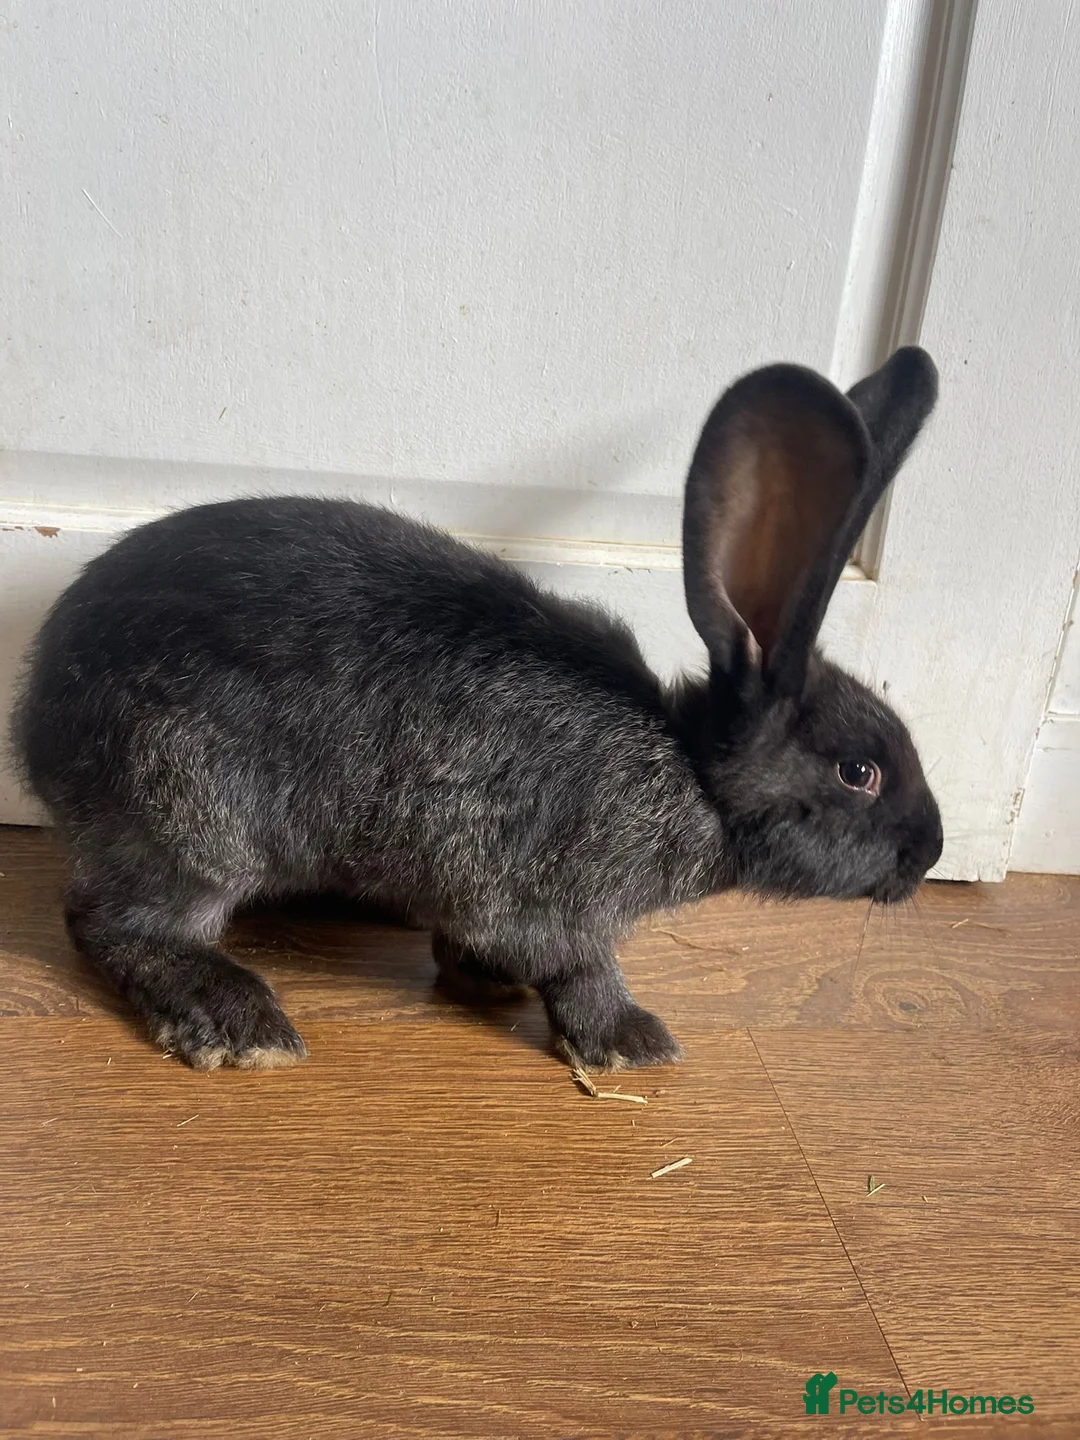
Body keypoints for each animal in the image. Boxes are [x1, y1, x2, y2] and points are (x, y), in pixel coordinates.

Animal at [11, 346, 943, 1072]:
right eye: (859, 771)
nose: (930, 853)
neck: (690, 776)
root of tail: (35, 715)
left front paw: (483, 979)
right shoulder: (550, 900)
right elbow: (581, 970)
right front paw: (632, 1042)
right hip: (190, 819)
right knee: (111, 921)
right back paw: (239, 1024)